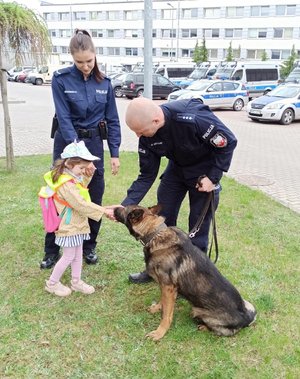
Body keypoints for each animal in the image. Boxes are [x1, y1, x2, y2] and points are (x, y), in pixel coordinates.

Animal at [113, 205, 256, 342]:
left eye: (125, 209)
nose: (114, 208)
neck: (155, 234)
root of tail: (246, 317)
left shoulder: (168, 287)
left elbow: (167, 315)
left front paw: (160, 333)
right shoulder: (165, 287)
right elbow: (162, 301)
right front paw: (157, 308)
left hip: (198, 311)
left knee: (224, 332)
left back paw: (204, 327)